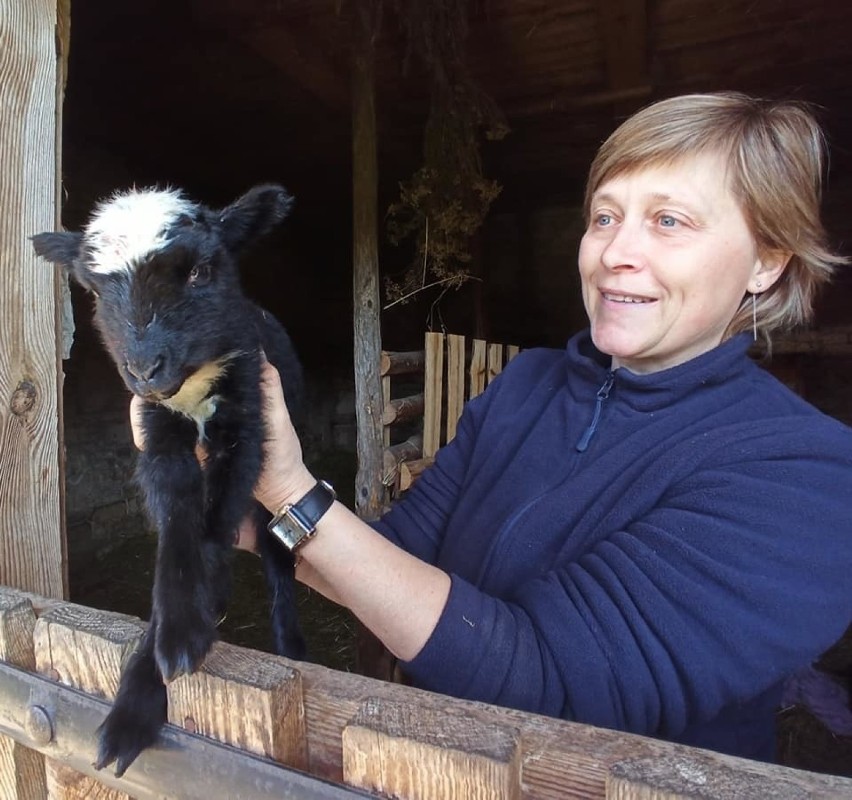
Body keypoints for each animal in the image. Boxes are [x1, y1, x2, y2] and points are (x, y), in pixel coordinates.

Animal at [34, 183, 306, 776]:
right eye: (93, 290)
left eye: (202, 272)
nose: (144, 368)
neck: (192, 390)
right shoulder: (156, 431)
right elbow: (178, 519)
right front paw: (153, 670)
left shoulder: (249, 422)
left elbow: (215, 524)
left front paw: (190, 631)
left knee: (279, 564)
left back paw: (293, 646)